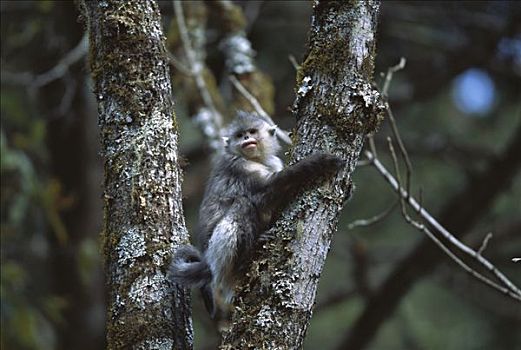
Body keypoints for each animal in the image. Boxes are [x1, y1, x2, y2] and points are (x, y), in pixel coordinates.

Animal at [169, 110, 344, 318]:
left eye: (251, 131)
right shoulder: (238, 165)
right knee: (243, 203)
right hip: (219, 255)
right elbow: (265, 191)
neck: (255, 159)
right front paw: (317, 162)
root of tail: (208, 264)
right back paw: (249, 252)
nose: (246, 138)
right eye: (239, 135)